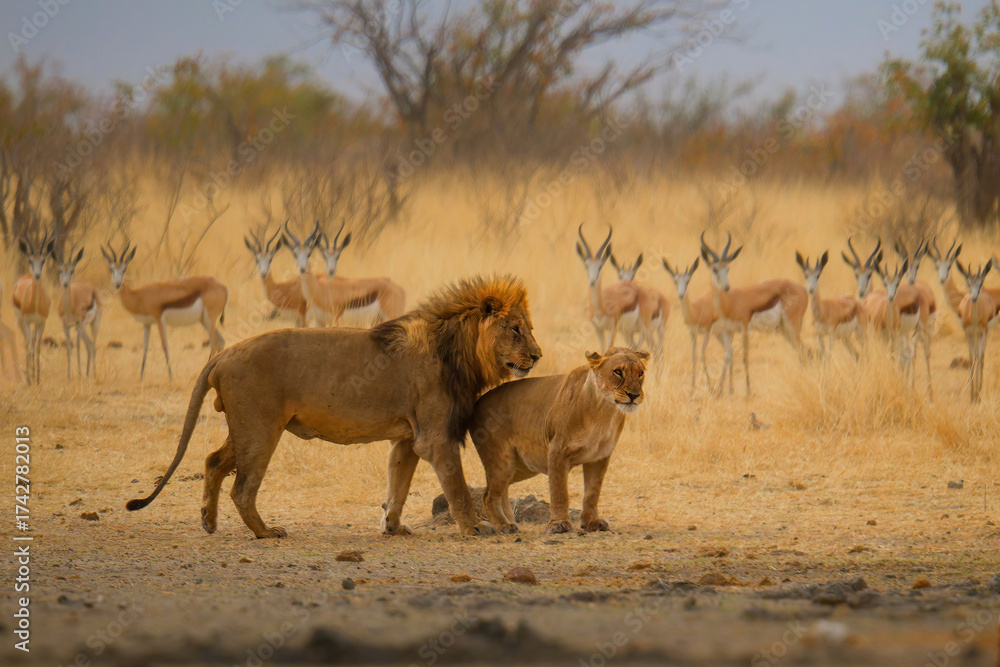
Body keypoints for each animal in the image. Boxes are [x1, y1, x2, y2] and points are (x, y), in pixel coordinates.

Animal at [125, 275, 542, 538]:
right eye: (515, 330)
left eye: (529, 328)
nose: (537, 356)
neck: (457, 351)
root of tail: (223, 353)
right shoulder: (436, 438)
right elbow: (455, 485)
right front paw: (475, 527)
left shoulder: (408, 439)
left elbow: (398, 484)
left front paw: (393, 527)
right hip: (261, 429)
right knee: (242, 487)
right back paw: (265, 532)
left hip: (245, 428)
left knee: (213, 461)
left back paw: (209, 522)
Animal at [470, 347, 648, 534]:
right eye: (618, 372)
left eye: (640, 373)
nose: (634, 395)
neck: (604, 411)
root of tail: (478, 402)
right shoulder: (557, 451)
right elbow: (560, 491)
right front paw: (559, 524)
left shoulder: (599, 457)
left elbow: (593, 492)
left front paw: (591, 523)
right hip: (503, 463)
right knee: (488, 495)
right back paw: (504, 525)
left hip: (521, 467)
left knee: (501, 491)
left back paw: (510, 521)